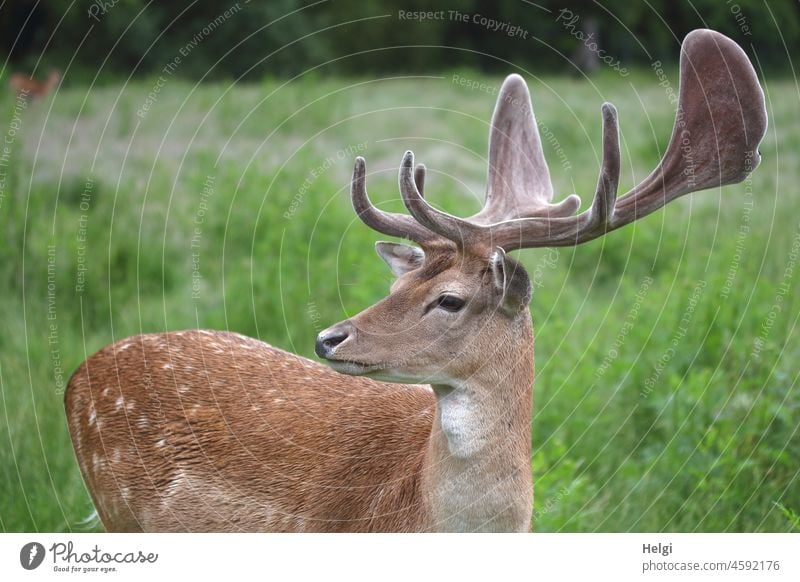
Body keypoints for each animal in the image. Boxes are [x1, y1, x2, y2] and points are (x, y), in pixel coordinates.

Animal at [65, 30, 764, 532]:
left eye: (449, 300)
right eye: (397, 288)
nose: (328, 339)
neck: (415, 522)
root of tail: (79, 373)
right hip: (116, 507)